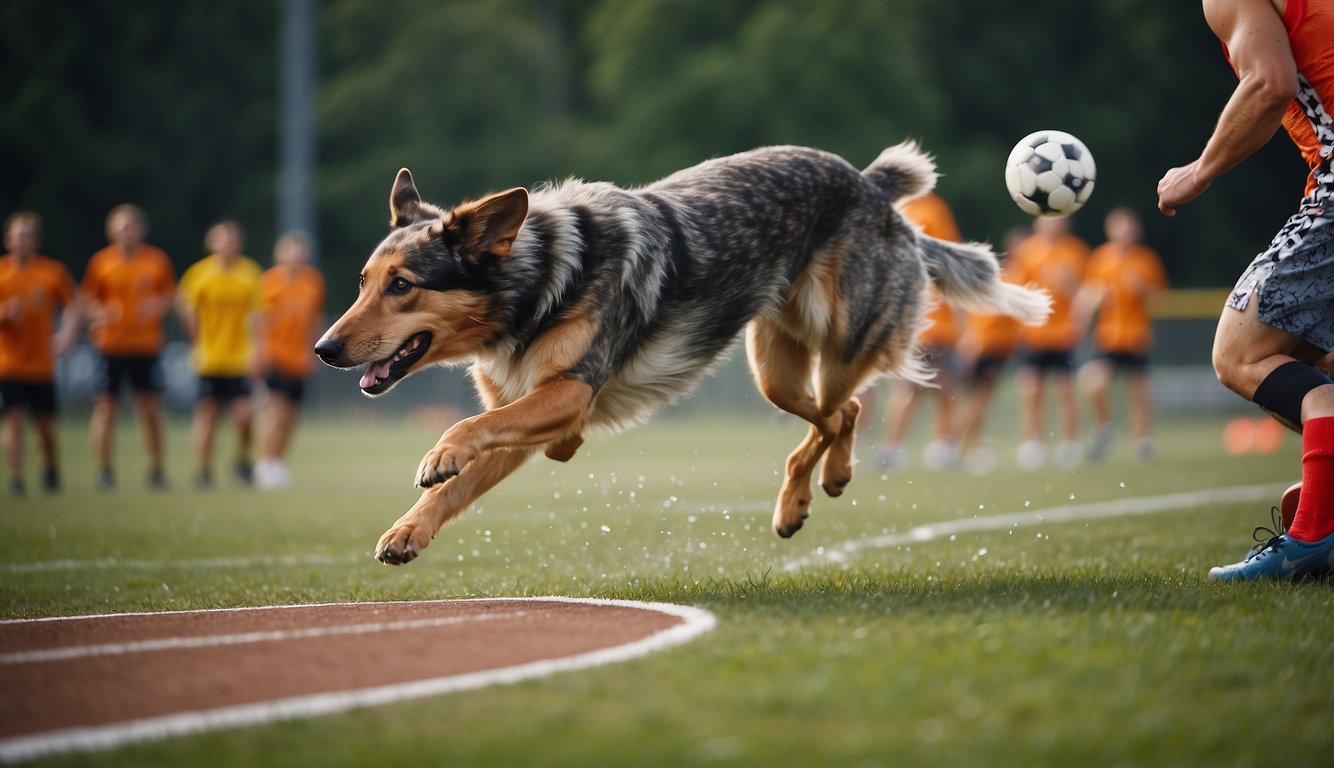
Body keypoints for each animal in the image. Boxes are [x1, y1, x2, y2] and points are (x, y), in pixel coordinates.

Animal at [317, 144, 1045, 565]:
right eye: (362, 282)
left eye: (403, 286)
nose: (324, 349)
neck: (537, 283)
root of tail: (872, 188)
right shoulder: (534, 416)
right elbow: (463, 479)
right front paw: (408, 532)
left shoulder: (569, 391)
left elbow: (468, 429)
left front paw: (439, 454)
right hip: (773, 372)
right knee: (839, 415)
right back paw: (809, 495)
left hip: (842, 345)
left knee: (845, 410)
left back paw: (817, 489)